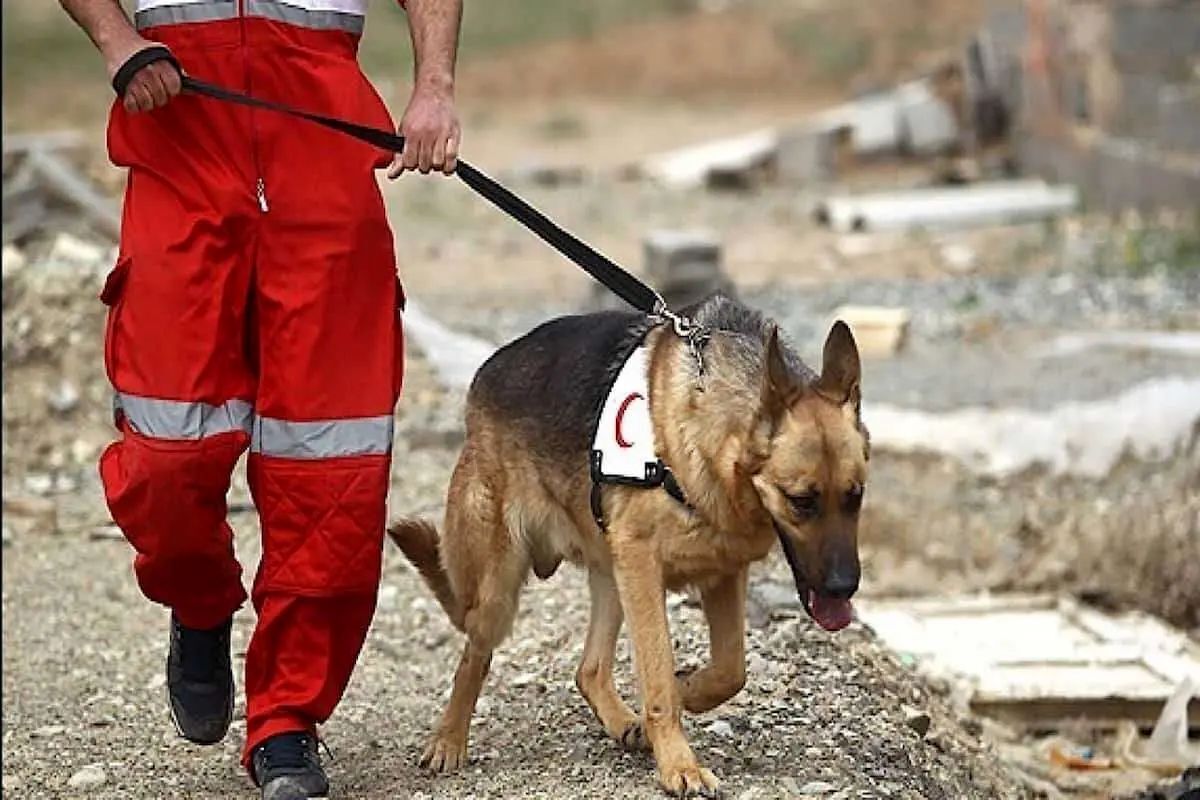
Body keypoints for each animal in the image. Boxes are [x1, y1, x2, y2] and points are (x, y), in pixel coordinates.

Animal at [388, 297, 868, 796]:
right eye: (802, 501)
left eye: (855, 496)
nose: (844, 588)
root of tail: (485, 373)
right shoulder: (644, 566)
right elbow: (658, 678)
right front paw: (679, 762)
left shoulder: (721, 574)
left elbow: (731, 670)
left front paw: (689, 691)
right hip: (503, 587)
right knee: (473, 656)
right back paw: (448, 741)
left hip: (613, 577)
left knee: (589, 669)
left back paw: (623, 723)